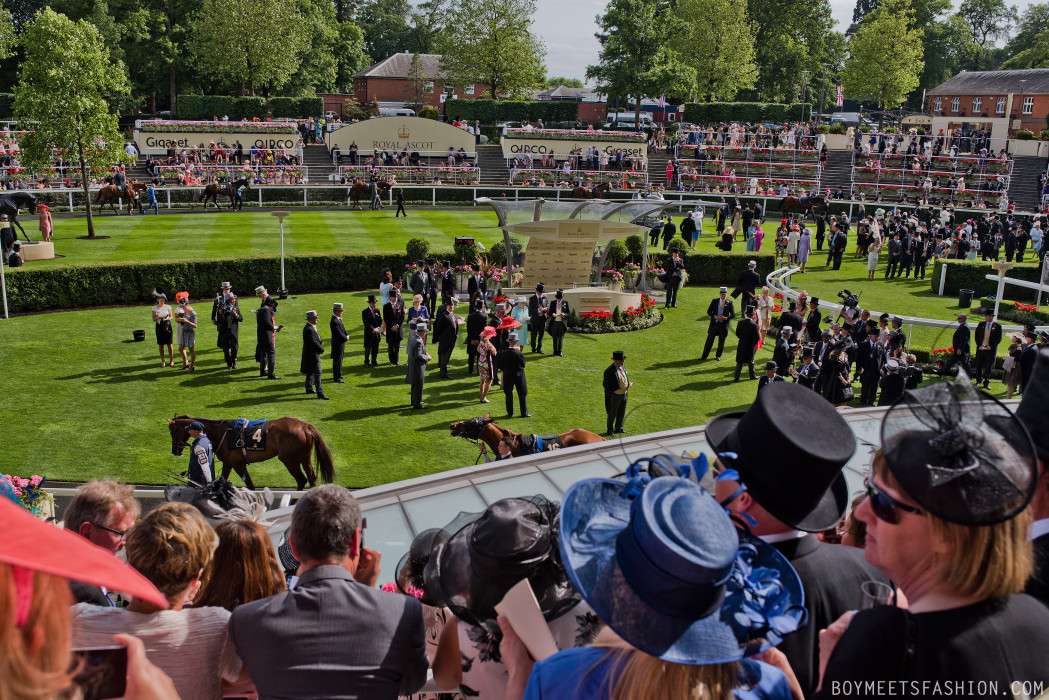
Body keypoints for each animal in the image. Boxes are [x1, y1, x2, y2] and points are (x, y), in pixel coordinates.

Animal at [165, 413, 333, 491]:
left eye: (172, 432)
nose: (175, 450)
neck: (222, 433)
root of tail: (305, 426)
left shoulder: (238, 464)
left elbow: (250, 485)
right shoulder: (228, 463)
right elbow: (223, 479)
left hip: (289, 460)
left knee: (302, 479)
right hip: (304, 457)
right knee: (311, 477)